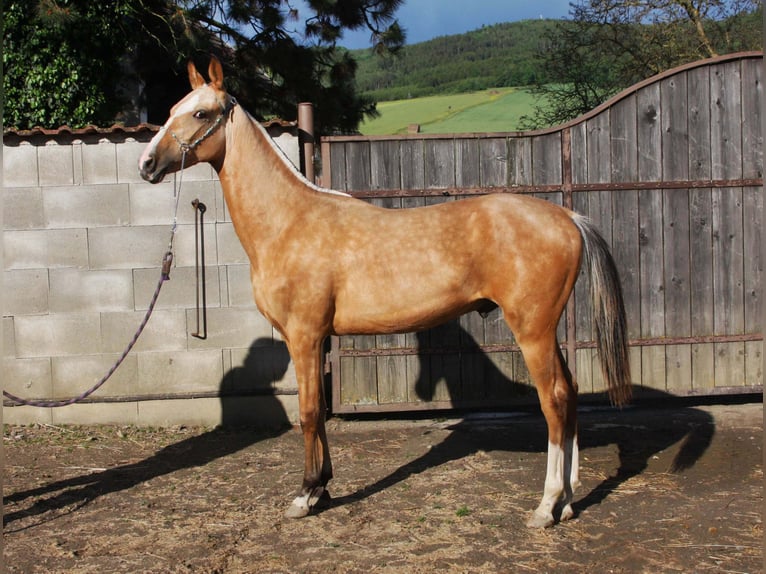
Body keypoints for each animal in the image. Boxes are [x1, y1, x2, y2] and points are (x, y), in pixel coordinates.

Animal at [141, 56, 632, 528]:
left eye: (200, 113)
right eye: (172, 109)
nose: (146, 164)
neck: (290, 221)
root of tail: (568, 219)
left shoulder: (304, 336)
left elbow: (308, 412)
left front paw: (304, 495)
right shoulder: (318, 340)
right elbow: (319, 411)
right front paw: (323, 488)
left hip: (532, 331)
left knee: (553, 402)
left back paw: (546, 507)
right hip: (547, 331)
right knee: (570, 395)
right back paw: (568, 501)